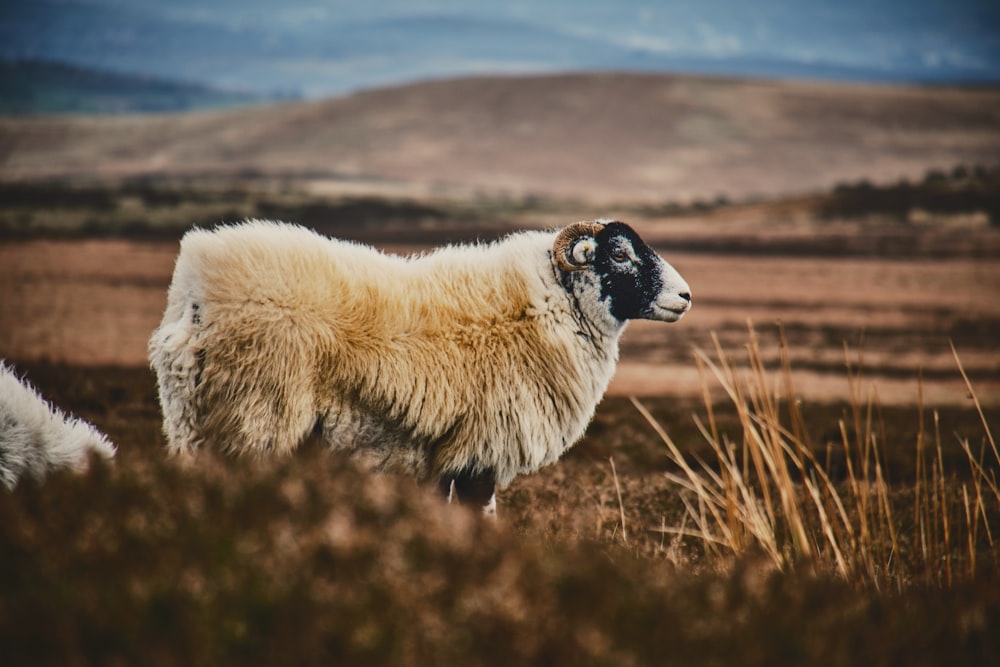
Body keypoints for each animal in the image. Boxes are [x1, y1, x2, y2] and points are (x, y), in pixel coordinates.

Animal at [150, 218, 696, 512]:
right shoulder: (482, 447)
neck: (547, 308)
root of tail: (195, 297)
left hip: (193, 419)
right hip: (252, 417)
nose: (686, 296)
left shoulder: (444, 453)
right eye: (620, 255)